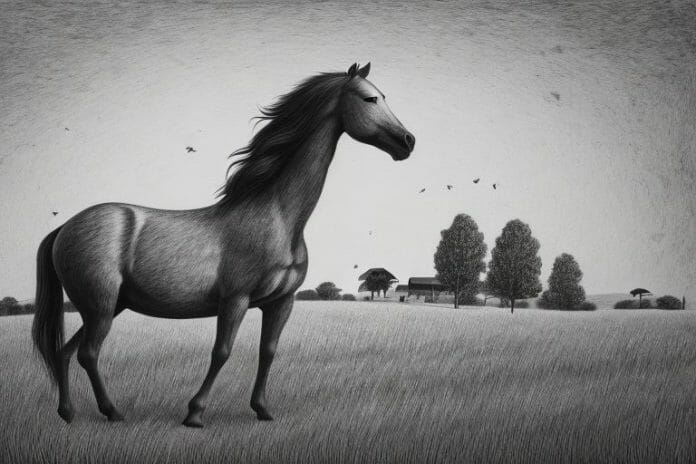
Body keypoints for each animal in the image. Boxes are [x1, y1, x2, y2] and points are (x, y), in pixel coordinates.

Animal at [31, 62, 415, 427]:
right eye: (369, 98)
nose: (407, 141)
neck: (277, 217)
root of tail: (65, 227)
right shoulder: (235, 300)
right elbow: (222, 352)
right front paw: (195, 414)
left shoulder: (281, 303)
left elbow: (268, 351)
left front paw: (262, 409)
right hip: (100, 306)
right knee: (88, 354)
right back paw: (112, 412)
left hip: (107, 307)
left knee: (66, 352)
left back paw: (68, 413)